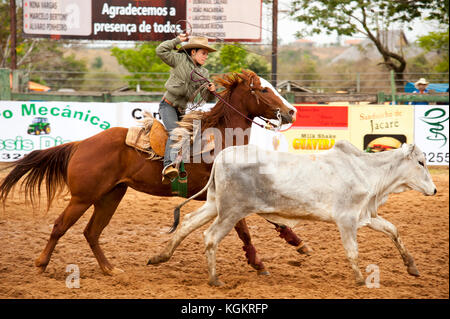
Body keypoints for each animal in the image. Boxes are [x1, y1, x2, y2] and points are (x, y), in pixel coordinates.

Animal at [0, 70, 306, 278]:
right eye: (263, 90)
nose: (291, 111)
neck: (218, 138)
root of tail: (80, 144)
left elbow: (271, 218)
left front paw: (298, 244)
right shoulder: (224, 195)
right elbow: (244, 228)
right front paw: (259, 262)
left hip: (110, 196)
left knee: (91, 232)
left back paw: (110, 269)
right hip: (83, 197)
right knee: (60, 226)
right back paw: (41, 265)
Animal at [149, 141, 438, 286]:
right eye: (421, 162)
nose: (435, 190)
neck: (366, 172)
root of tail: (222, 156)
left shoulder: (366, 216)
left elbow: (394, 231)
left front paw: (412, 266)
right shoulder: (346, 219)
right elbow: (352, 251)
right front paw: (359, 279)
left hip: (214, 205)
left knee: (187, 223)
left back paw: (160, 256)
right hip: (231, 210)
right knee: (210, 237)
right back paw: (214, 279)